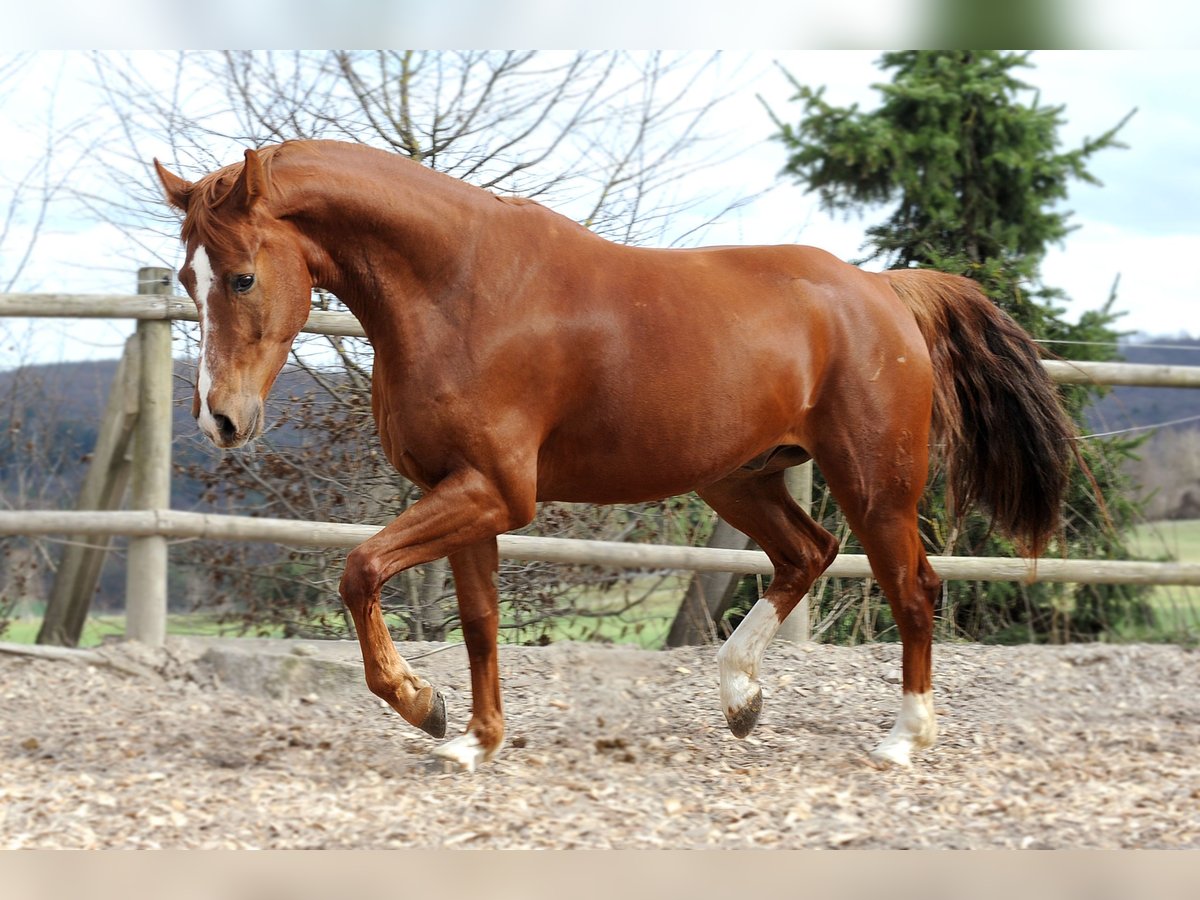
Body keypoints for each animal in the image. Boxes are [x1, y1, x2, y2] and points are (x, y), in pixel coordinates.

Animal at [154, 142, 1075, 777]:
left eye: (241, 277)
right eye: (185, 279)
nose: (222, 421)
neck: (456, 290)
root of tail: (883, 289)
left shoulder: (495, 493)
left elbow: (359, 570)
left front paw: (423, 706)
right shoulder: (466, 495)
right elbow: (481, 622)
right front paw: (474, 742)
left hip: (875, 484)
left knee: (912, 588)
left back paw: (902, 740)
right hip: (739, 478)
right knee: (806, 553)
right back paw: (740, 697)